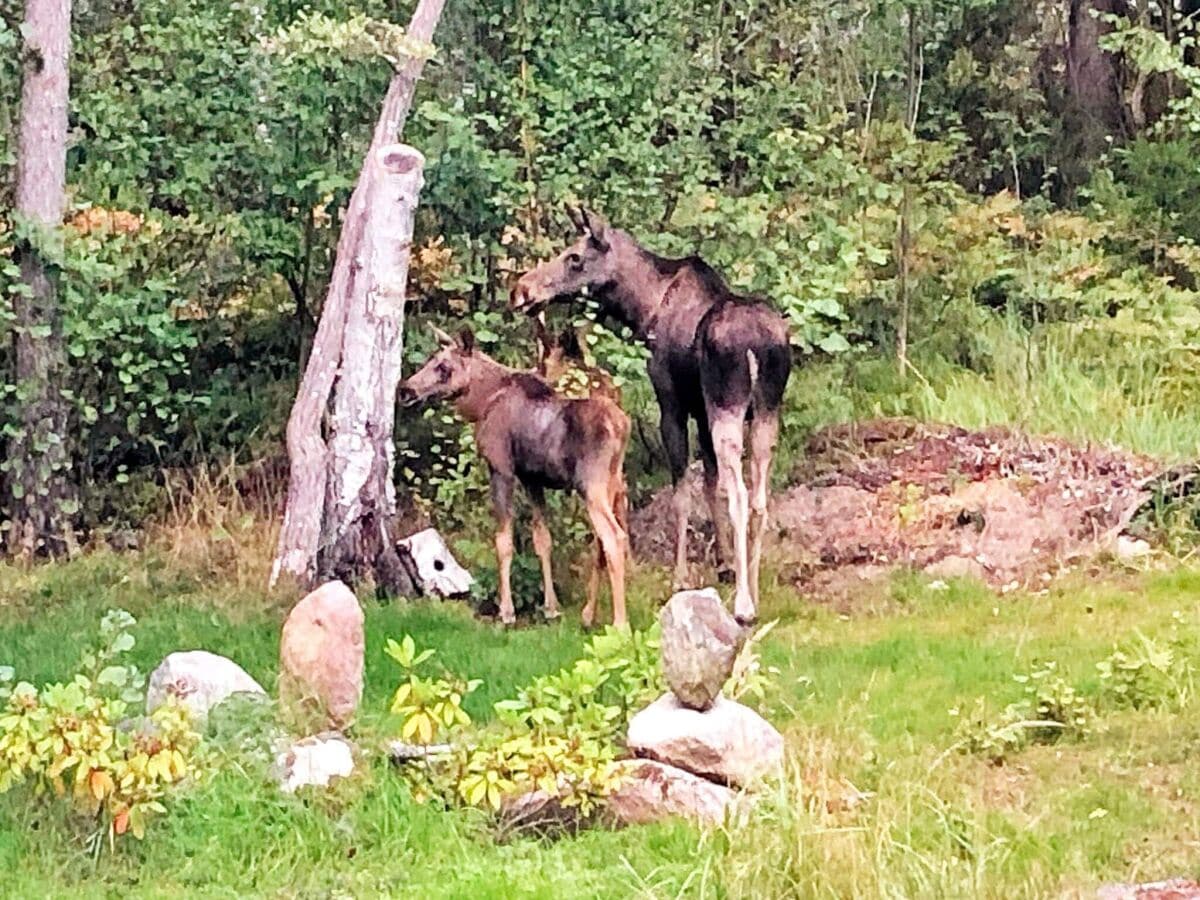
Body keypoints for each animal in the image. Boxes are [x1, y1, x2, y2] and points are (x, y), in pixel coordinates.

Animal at [398, 328, 633, 628]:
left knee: (614, 538)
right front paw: (551, 608)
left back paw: (620, 623)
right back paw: (588, 614)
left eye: (444, 367)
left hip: (591, 485)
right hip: (614, 482)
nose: (406, 390)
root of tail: (622, 426)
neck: (482, 403)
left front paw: (507, 612)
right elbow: (542, 540)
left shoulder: (501, 469)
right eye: (431, 360)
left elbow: (503, 541)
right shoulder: (532, 479)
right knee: (601, 544)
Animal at [511, 210, 792, 628]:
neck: (642, 309)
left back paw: (743, 605)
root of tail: (761, 343)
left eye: (574, 257)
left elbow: (682, 494)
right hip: (766, 411)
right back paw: (754, 591)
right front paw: (724, 565)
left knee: (741, 495)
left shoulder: (672, 403)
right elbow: (708, 484)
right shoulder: (700, 409)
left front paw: (680, 577)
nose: (522, 289)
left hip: (729, 405)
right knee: (760, 497)